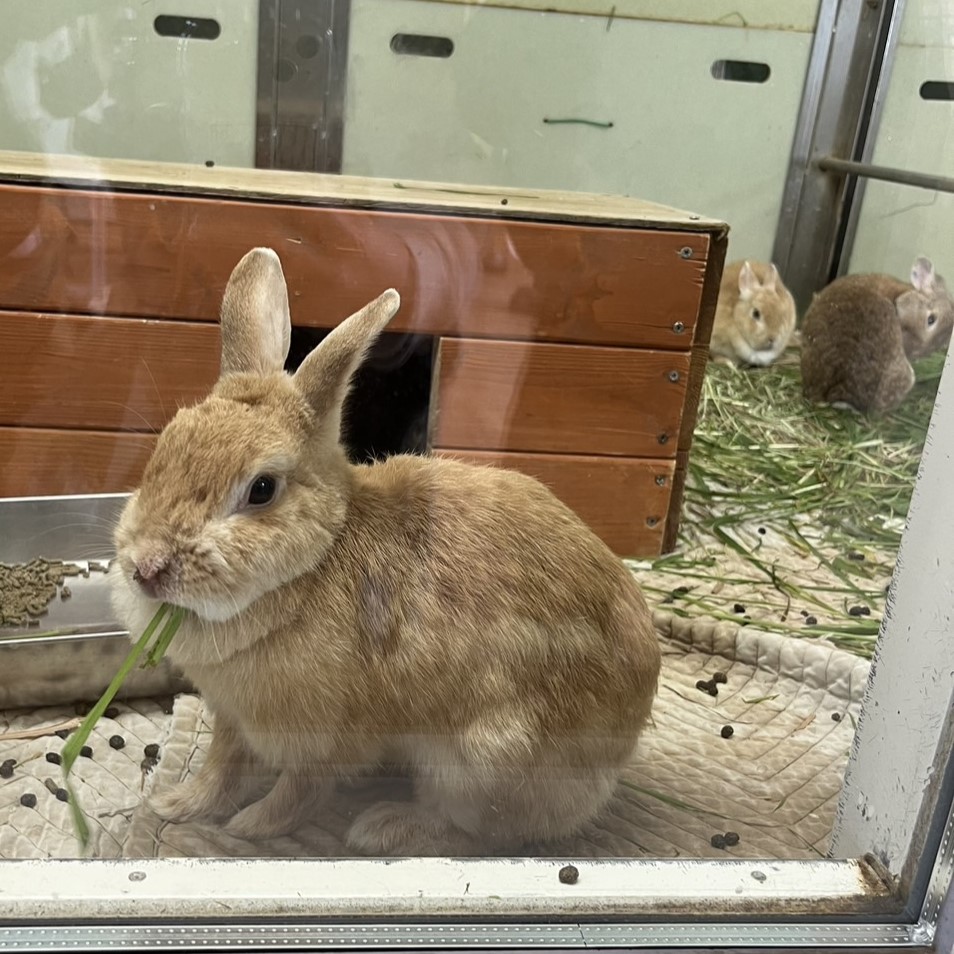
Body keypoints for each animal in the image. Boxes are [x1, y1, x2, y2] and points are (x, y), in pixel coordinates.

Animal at [108, 247, 660, 856]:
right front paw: (178, 805)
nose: (146, 567)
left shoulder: (324, 737)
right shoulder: (232, 718)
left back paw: (383, 826)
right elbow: (221, 765)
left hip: (483, 760)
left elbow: (299, 789)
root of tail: (624, 743)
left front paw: (252, 826)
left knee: (475, 826)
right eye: (165, 445)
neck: (315, 563)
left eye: (262, 489)